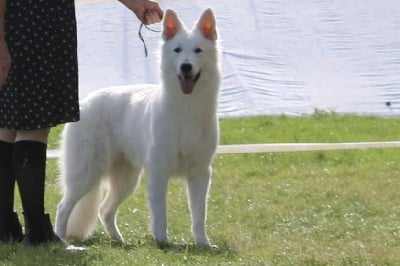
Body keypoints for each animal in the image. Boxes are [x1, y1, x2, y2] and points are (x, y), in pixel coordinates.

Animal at [54, 8, 219, 247]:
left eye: (198, 50)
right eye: (177, 50)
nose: (186, 66)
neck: (186, 108)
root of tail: (84, 103)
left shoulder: (200, 173)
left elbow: (199, 214)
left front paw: (203, 244)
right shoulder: (158, 172)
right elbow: (160, 213)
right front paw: (162, 242)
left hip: (126, 180)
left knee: (104, 210)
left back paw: (119, 241)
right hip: (85, 174)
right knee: (63, 207)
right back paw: (61, 240)